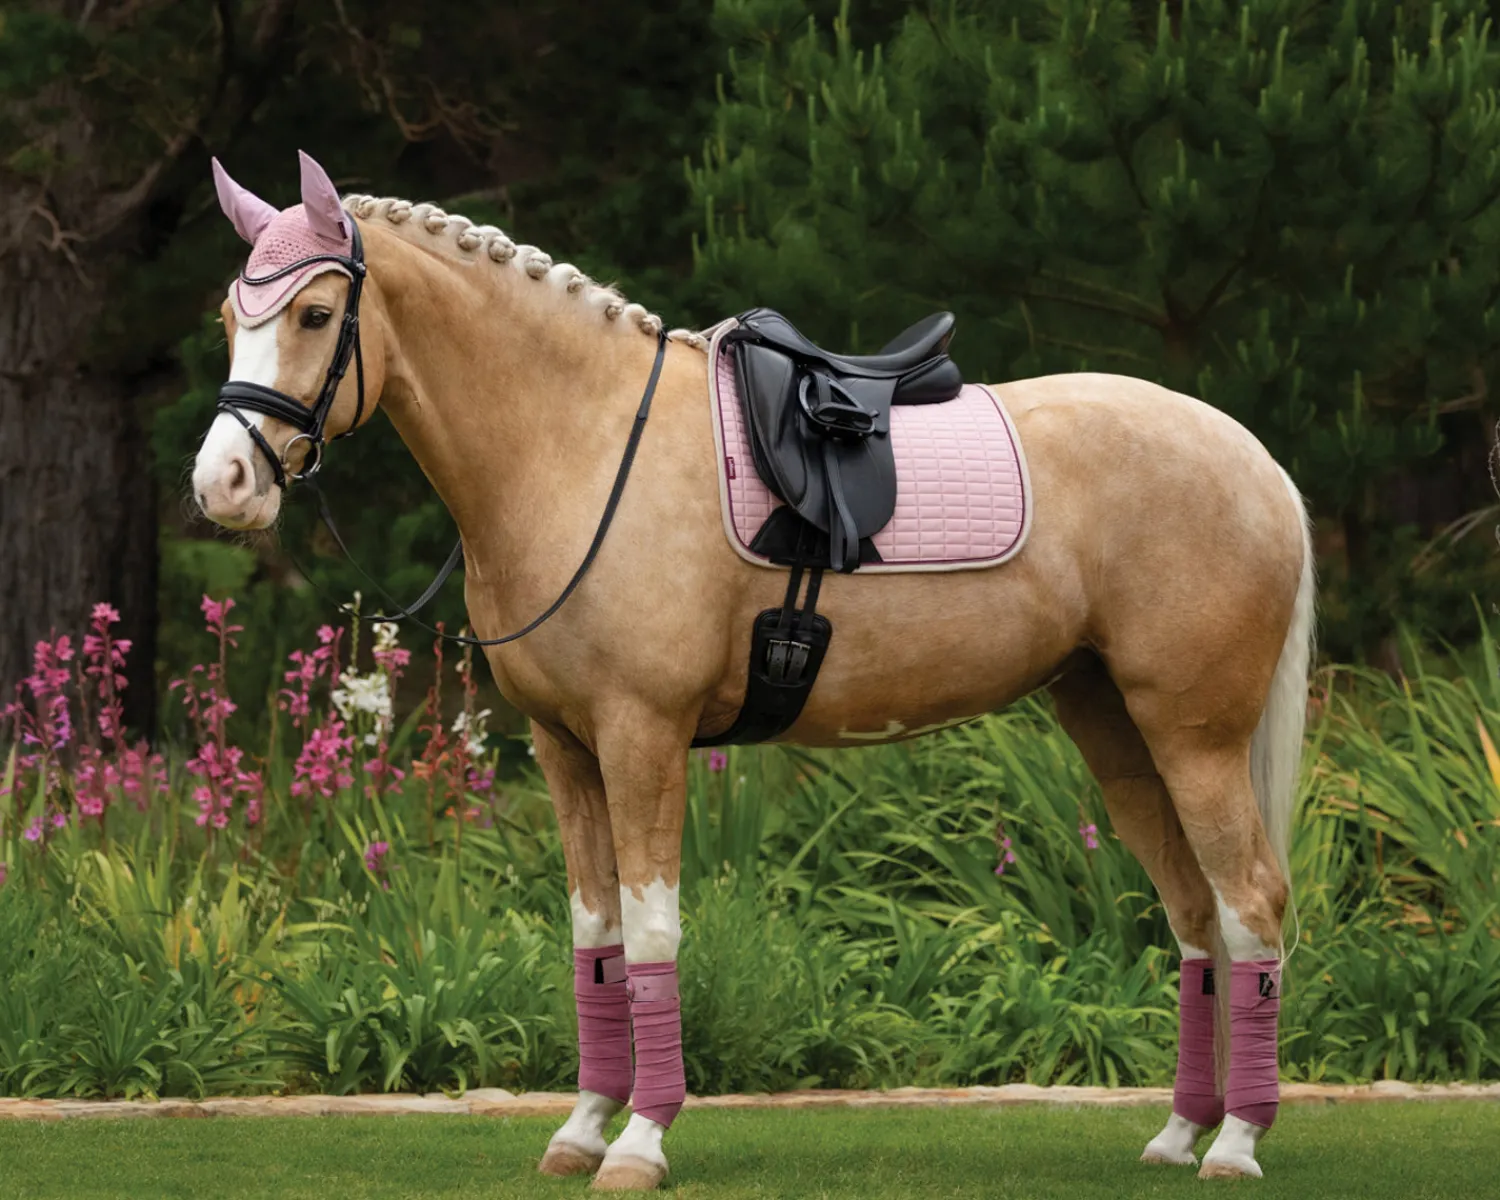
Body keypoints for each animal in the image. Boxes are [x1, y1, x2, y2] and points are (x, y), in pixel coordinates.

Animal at [193, 152, 1313, 1191]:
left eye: (317, 312)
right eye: (229, 317)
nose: (223, 483)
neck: (582, 446)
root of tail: (1254, 459)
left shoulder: (642, 737)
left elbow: (651, 934)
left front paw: (640, 1141)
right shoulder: (565, 750)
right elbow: (595, 939)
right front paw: (582, 1130)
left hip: (1195, 737)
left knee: (1251, 903)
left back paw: (1239, 1144)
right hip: (1115, 727)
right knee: (1195, 914)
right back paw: (1180, 1134)